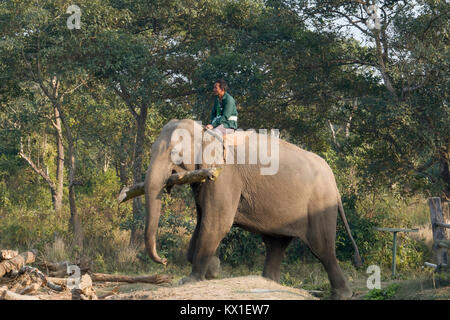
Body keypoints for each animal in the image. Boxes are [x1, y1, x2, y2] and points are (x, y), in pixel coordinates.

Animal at [144, 119, 362, 298]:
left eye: (175, 153)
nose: (163, 260)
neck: (206, 132)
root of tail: (334, 181)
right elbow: (202, 221)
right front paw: (213, 270)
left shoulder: (224, 176)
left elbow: (217, 223)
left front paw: (191, 280)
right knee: (275, 244)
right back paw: (269, 282)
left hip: (320, 204)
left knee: (322, 248)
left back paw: (341, 294)